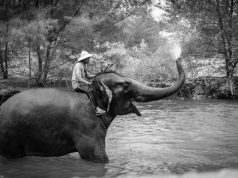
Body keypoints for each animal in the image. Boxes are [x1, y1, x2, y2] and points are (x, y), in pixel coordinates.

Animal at [0, 58, 184, 163]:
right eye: (125, 85)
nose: (178, 58)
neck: (92, 94)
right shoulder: (86, 127)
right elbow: (97, 157)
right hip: (10, 135)